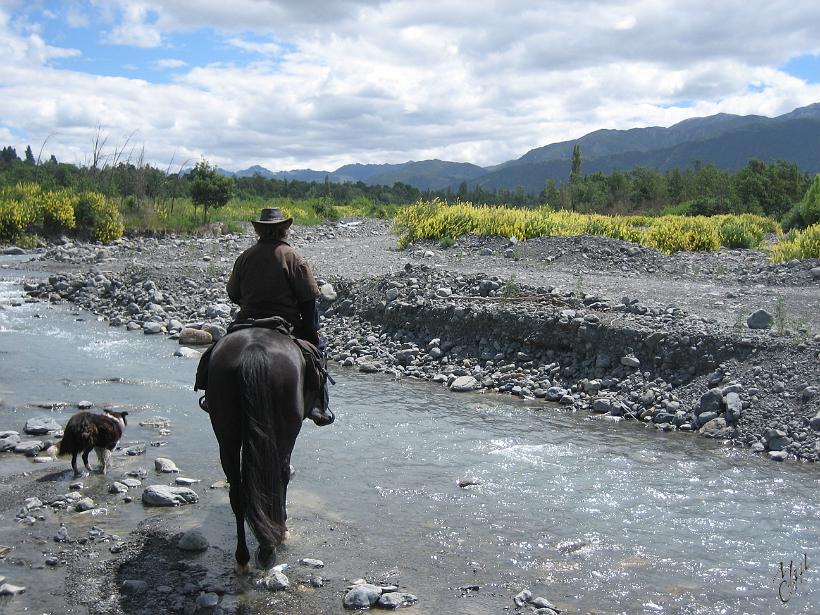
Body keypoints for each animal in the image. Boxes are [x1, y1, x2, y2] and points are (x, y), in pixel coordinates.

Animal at [205, 328, 320, 572]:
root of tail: (253, 350)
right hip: (285, 433)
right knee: (279, 476)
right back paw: (272, 543)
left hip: (226, 434)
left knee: (237, 493)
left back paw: (242, 558)